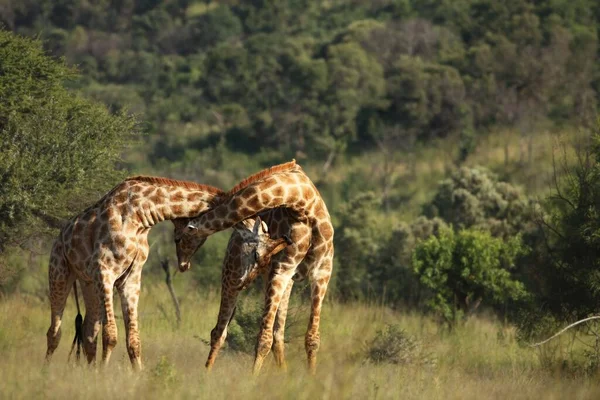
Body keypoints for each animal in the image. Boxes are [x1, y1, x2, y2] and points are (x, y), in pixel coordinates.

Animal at [42, 175, 225, 368]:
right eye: (180, 238)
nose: (184, 265)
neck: (140, 214)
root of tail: (60, 236)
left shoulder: (130, 278)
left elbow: (133, 339)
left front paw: (137, 372)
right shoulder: (103, 270)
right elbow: (110, 335)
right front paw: (103, 372)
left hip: (88, 283)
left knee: (88, 330)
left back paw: (87, 370)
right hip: (59, 270)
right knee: (54, 331)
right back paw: (45, 370)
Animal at [173, 160, 336, 376]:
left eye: (179, 238)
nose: (183, 263)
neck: (304, 202)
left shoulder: (322, 270)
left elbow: (311, 337)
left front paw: (311, 378)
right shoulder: (281, 269)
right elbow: (263, 338)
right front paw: (252, 380)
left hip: (284, 282)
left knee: (278, 333)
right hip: (233, 275)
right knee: (219, 331)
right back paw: (206, 374)